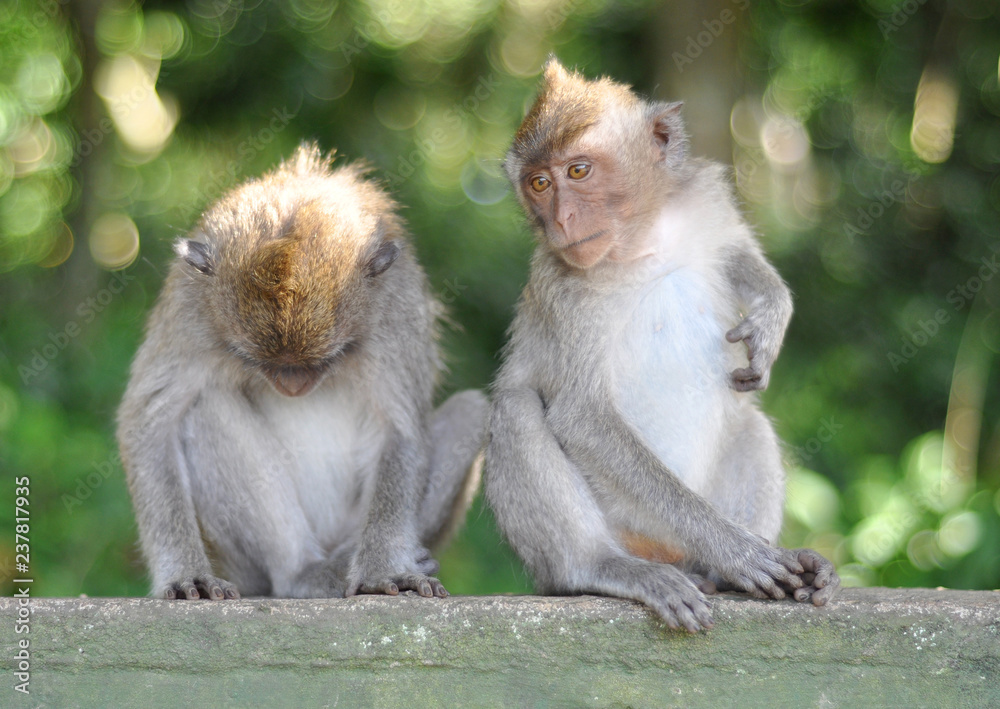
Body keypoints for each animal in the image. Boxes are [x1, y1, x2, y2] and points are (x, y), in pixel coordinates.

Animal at [117, 143, 488, 601]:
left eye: (326, 360)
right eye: (257, 362)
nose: (292, 385)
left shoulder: (395, 308)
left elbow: (399, 429)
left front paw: (384, 567)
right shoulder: (190, 306)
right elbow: (150, 422)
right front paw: (186, 573)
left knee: (474, 410)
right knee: (204, 408)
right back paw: (304, 572)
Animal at [484, 60, 839, 633]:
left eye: (577, 172)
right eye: (539, 183)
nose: (561, 220)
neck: (640, 242)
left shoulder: (703, 197)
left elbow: (737, 250)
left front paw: (770, 314)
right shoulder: (563, 289)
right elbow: (583, 415)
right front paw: (736, 550)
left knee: (751, 423)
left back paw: (738, 573)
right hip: (622, 522)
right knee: (517, 408)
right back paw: (608, 567)